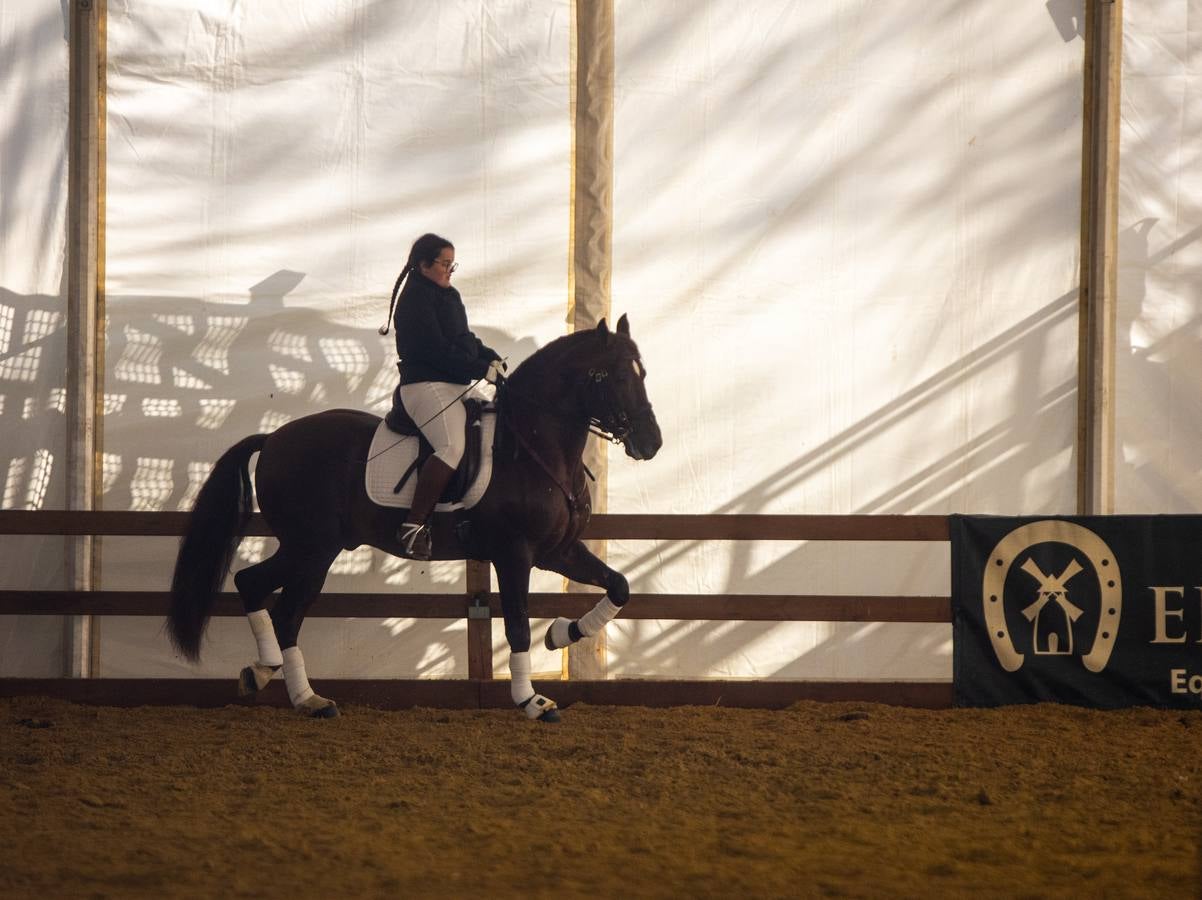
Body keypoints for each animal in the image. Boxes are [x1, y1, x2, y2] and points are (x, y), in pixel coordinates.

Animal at [164, 312, 663, 720]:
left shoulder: (557, 550)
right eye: (617, 375)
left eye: (643, 372)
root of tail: (272, 439)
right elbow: (518, 626)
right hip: (312, 547)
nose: (651, 443)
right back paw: (281, 683)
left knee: (275, 604)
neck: (534, 448)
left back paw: (299, 694)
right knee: (262, 593)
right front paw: (532, 701)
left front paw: (563, 633)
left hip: (314, 551)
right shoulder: (514, 554)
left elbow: (619, 586)